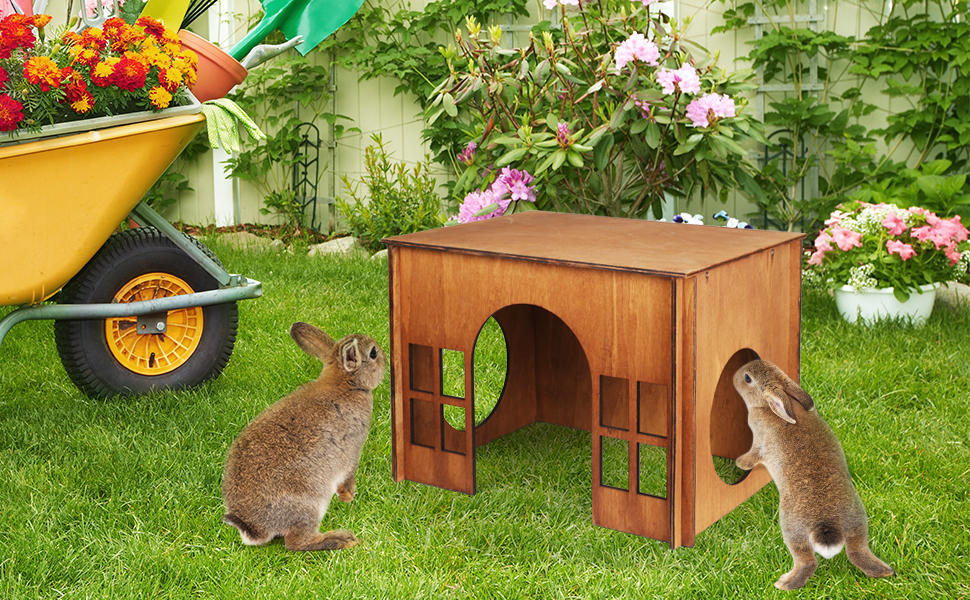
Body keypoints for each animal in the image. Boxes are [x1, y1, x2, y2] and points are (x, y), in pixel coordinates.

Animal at [221, 322, 386, 551]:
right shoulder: (353, 450)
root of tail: (253, 529)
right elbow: (348, 476)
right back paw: (341, 539)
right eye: (373, 353)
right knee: (296, 542)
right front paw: (348, 498)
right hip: (311, 502)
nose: (386, 360)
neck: (346, 382)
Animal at [733, 359, 894, 590]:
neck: (768, 406)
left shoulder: (759, 443)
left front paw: (739, 463)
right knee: (857, 551)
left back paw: (784, 583)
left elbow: (752, 456)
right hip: (857, 523)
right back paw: (885, 572)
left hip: (793, 531)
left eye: (747, 378)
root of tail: (829, 527)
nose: (735, 375)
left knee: (808, 561)